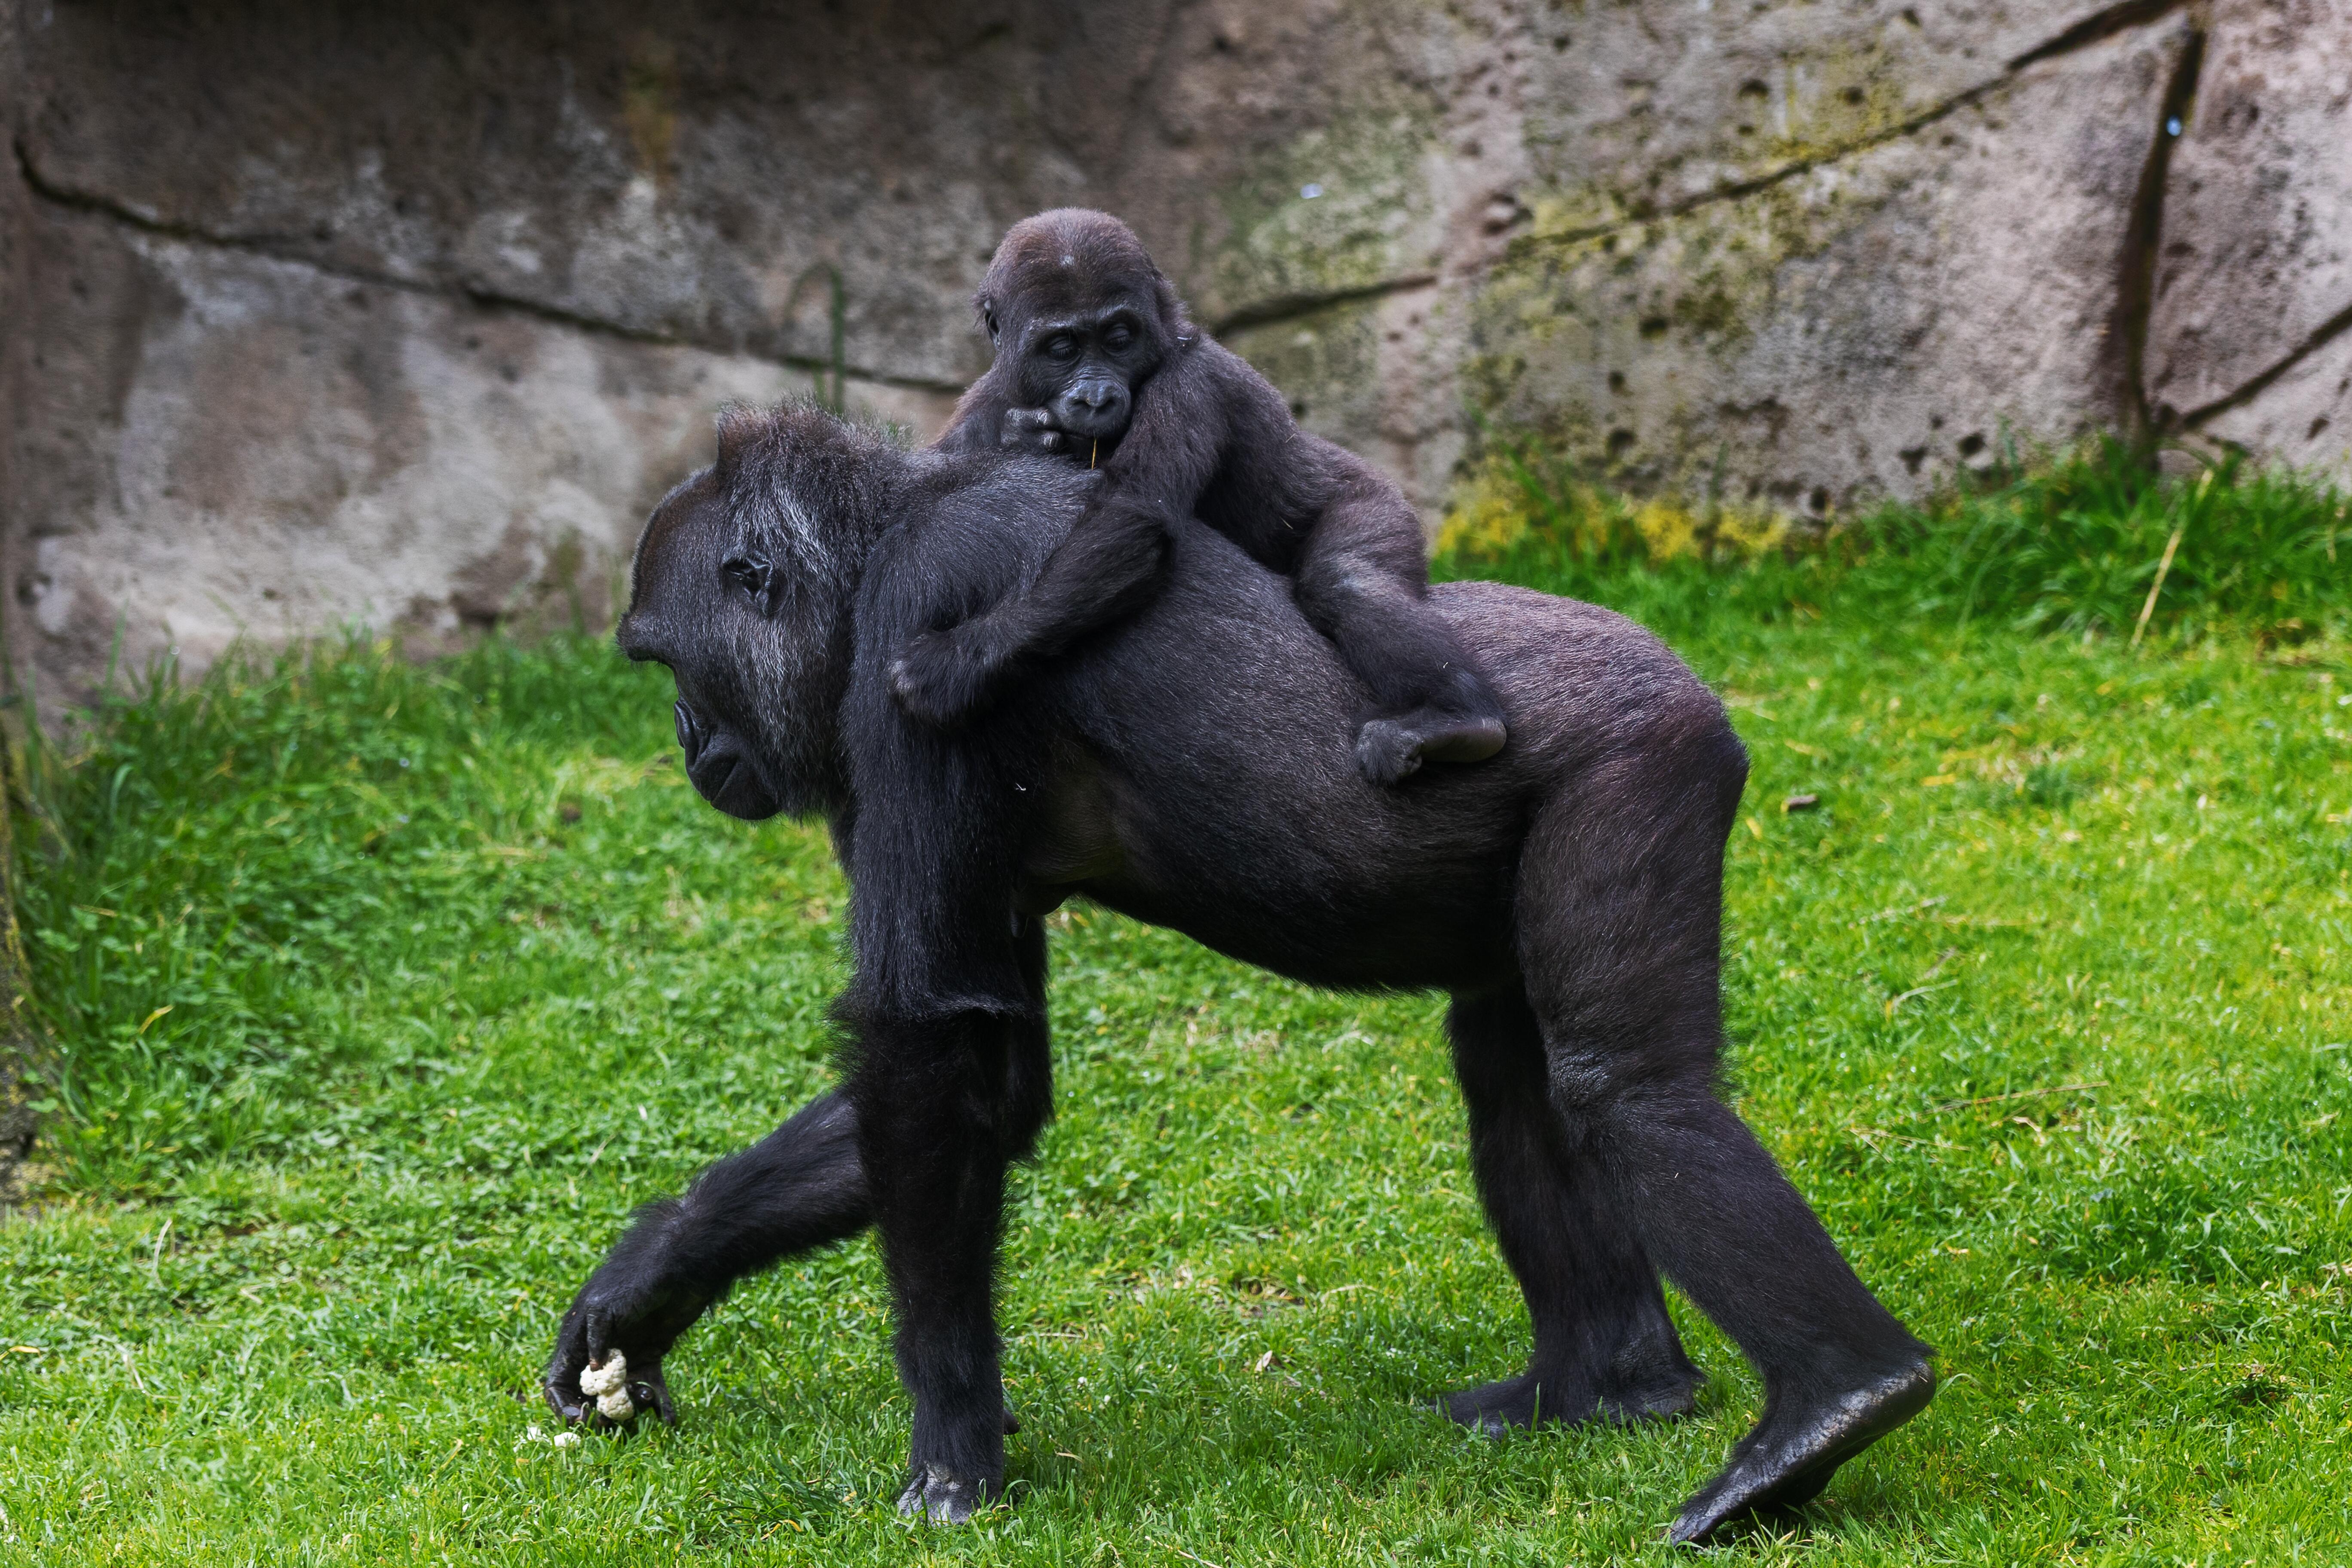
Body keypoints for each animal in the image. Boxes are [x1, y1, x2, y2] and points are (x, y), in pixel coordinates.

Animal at [544, 402, 1937, 1545]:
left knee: (1627, 1087)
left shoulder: (921, 631)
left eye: (662, 660)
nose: (688, 741)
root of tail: (1701, 694)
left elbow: (928, 1044)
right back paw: (1604, 1386)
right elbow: (988, 1076)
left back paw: (1833, 1403)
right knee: (1519, 1085)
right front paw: (653, 1278)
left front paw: (950, 1444)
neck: (876, 538)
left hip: (1649, 759)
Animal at [892, 208, 1509, 788]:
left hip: (1376, 500)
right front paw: (1016, 437)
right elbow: (936, 474)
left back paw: (1458, 719)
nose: (1095, 398)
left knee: (1349, 578)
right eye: (1062, 347)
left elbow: (1132, 516)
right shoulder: (984, 398)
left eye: (1119, 338)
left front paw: (960, 664)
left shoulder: (1192, 380)